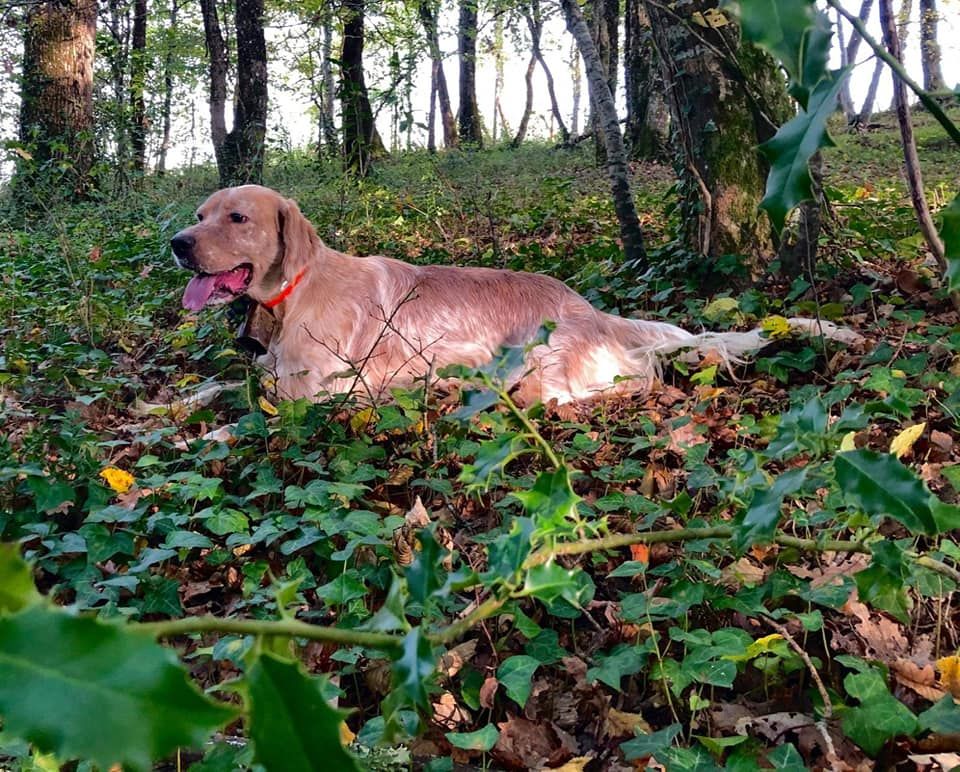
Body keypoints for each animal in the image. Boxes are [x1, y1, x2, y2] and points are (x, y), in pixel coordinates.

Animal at [171, 185, 864, 404]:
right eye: (201, 214)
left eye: (237, 217)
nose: (177, 243)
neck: (293, 292)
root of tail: (593, 312)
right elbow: (216, 390)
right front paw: (168, 406)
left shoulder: (314, 392)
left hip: (527, 368)